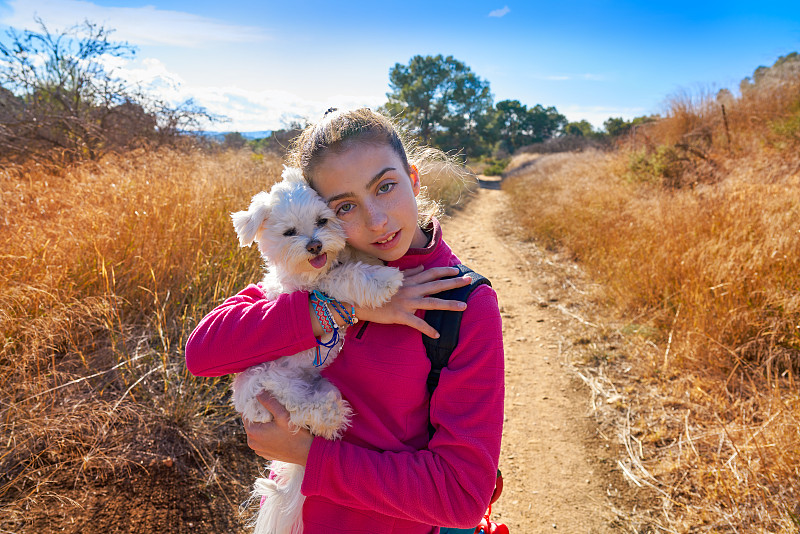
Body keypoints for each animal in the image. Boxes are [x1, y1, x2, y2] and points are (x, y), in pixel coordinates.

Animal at [231, 168, 406, 534]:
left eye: (322, 220)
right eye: (289, 232)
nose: (314, 244)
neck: (315, 269)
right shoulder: (315, 290)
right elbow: (344, 278)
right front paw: (382, 279)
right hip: (277, 386)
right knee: (307, 413)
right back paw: (332, 416)